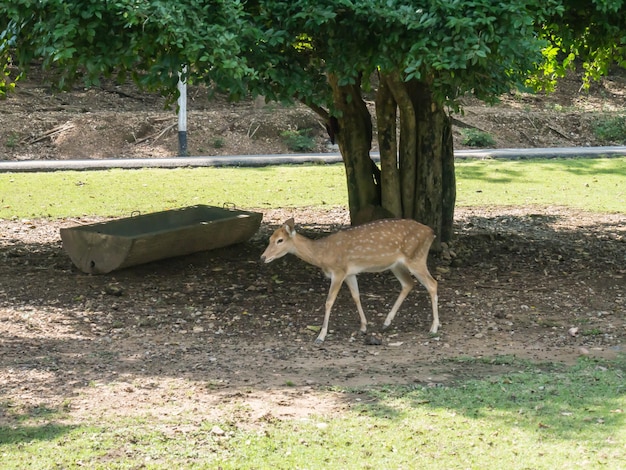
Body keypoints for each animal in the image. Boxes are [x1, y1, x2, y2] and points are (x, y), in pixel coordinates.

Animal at [260, 218, 438, 344]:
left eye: (280, 240)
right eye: (269, 239)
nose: (263, 257)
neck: (322, 254)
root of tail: (432, 232)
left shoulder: (338, 271)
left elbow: (329, 301)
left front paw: (321, 336)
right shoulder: (350, 273)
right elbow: (356, 296)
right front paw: (363, 327)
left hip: (416, 258)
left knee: (432, 284)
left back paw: (434, 327)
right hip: (397, 265)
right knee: (408, 284)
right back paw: (386, 323)